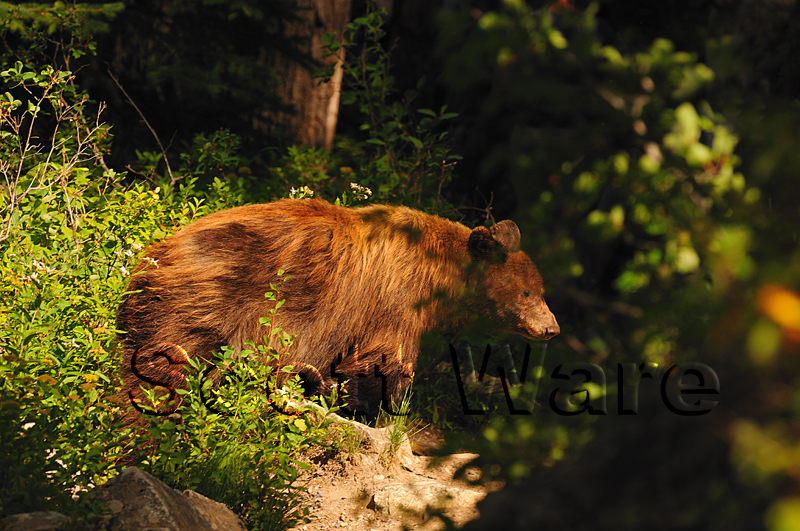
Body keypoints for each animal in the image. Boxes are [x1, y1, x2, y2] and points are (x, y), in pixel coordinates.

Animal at [117, 198, 559, 421]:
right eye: (527, 292)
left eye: (540, 291)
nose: (552, 328)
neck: (436, 278)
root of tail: (153, 255)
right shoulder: (392, 300)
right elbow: (384, 359)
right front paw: (378, 408)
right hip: (209, 301)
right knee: (164, 365)